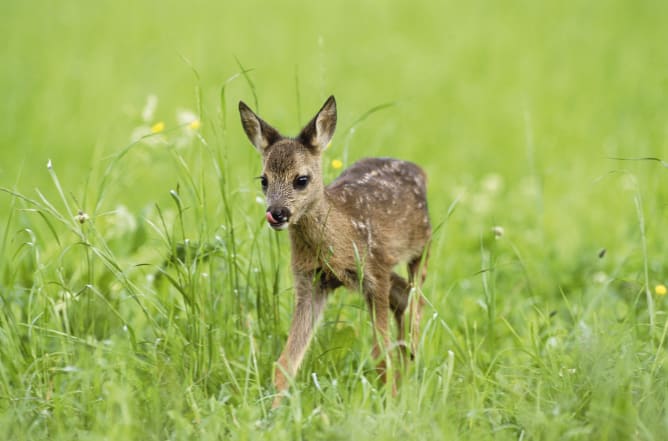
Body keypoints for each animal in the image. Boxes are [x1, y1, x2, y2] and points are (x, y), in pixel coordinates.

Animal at [237, 95, 430, 406]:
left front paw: (388, 405)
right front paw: (273, 410)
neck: (338, 240)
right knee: (404, 297)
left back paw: (410, 361)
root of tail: (419, 170)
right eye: (264, 180)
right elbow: (286, 361)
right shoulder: (311, 282)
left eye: (301, 179)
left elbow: (381, 356)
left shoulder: (375, 272)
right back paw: (406, 375)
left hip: (421, 245)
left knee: (416, 300)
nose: (276, 213)